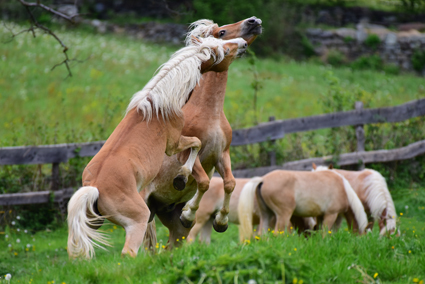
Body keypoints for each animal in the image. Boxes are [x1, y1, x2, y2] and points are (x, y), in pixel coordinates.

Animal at [66, 36, 248, 260]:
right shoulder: (174, 145)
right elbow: (196, 143)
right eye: (224, 49)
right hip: (139, 218)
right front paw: (182, 177)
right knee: (130, 251)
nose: (243, 43)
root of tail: (94, 187)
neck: (159, 105)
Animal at [141, 16, 262, 248]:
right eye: (222, 32)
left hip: (171, 223)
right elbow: (204, 182)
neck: (209, 112)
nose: (254, 21)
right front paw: (189, 213)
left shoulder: (222, 155)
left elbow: (230, 183)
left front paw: (220, 222)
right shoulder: (186, 154)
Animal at [235, 170, 368, 241]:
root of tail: (263, 179)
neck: (343, 188)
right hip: (283, 215)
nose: (361, 240)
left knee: (262, 234)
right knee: (277, 233)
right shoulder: (332, 214)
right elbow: (325, 232)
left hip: (267, 215)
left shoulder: (322, 216)